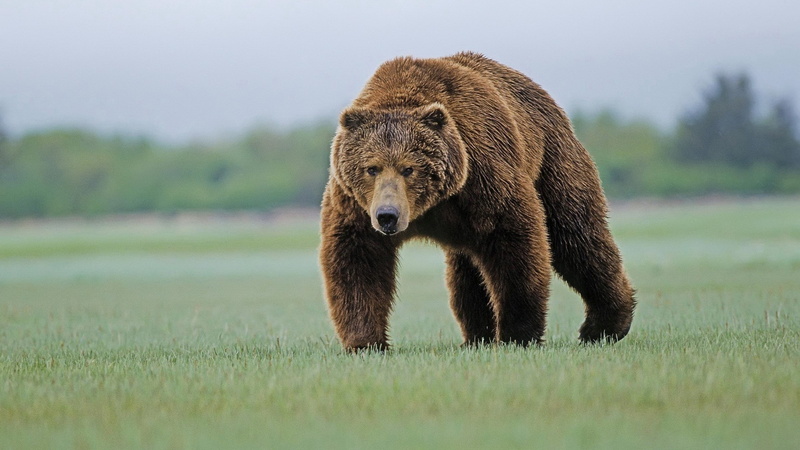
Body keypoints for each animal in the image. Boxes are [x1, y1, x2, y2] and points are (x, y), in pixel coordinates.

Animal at [320, 52, 635, 351]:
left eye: (409, 168)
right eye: (371, 168)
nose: (388, 215)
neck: (431, 206)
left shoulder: (483, 176)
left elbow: (515, 244)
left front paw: (517, 334)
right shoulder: (355, 204)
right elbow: (358, 259)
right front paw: (366, 342)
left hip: (553, 160)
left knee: (576, 236)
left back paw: (604, 326)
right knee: (467, 272)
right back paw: (476, 335)